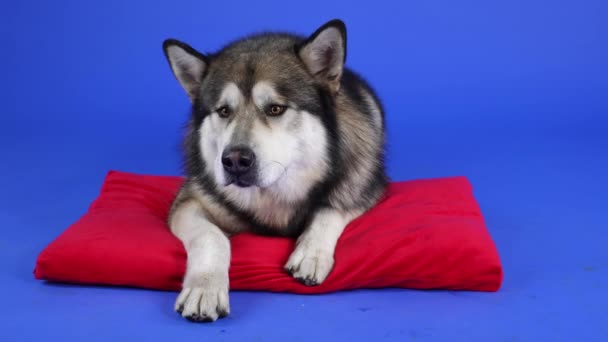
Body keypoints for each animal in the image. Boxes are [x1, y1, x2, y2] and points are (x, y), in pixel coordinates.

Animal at [163, 18, 384, 322]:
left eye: (275, 109)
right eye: (223, 111)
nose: (234, 161)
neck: (274, 194)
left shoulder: (363, 188)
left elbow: (331, 209)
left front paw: (311, 252)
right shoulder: (190, 201)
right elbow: (212, 236)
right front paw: (204, 287)